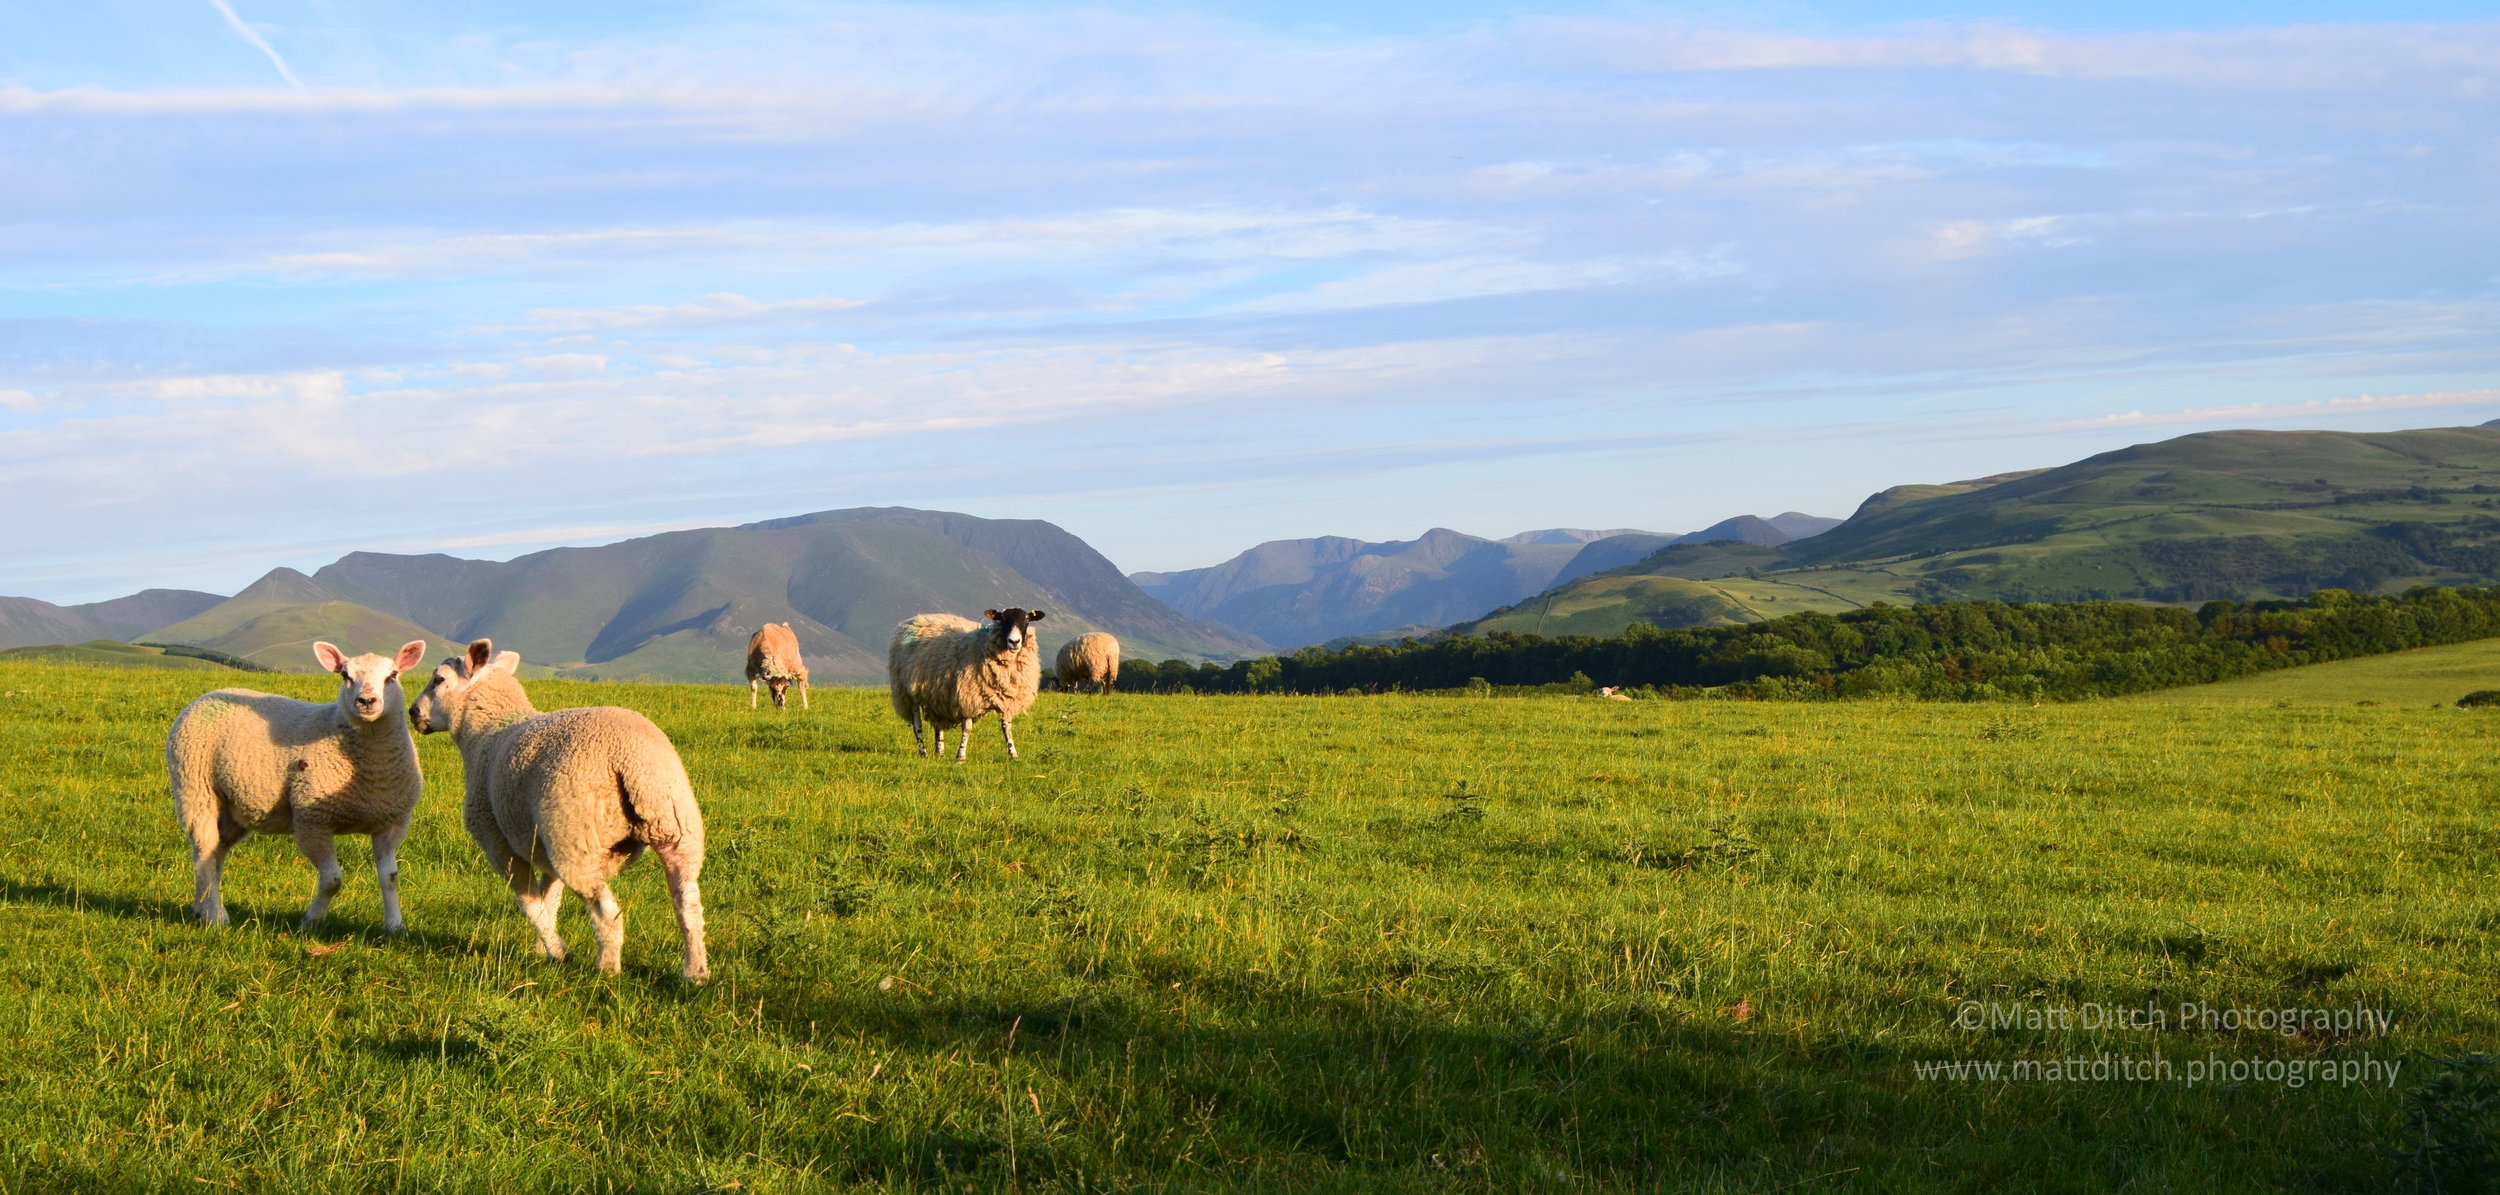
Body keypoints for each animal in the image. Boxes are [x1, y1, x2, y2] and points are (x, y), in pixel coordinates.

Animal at [165, 639, 430, 931]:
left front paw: (395, 926)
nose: (367, 701)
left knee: (215, 853)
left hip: (233, 807)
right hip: (194, 788)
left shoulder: (391, 823)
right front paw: (311, 921)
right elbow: (332, 880)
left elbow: (390, 878)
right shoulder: (312, 821)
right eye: (345, 676)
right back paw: (215, 917)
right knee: (204, 848)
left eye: (392, 675)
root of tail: (207, 696)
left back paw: (204, 910)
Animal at [410, 639, 708, 981]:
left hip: (575, 833)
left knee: (607, 912)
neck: (486, 733)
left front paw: (559, 952)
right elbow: (549, 896)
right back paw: (695, 973)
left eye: (439, 680)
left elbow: (529, 902)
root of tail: (630, 759)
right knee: (688, 903)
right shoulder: (542, 843)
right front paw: (544, 949)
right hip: (672, 823)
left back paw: (607, 969)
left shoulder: (497, 841)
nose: (413, 713)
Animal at [888, 607, 1047, 760]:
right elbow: (967, 728)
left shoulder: (1006, 700)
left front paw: (1013, 754)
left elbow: (1006, 727)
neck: (983, 644)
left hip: (937, 693)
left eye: (1027, 620)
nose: (1014, 641)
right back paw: (923, 753)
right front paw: (961, 756)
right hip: (907, 692)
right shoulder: (968, 695)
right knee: (917, 725)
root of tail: (910, 621)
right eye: (1001, 619)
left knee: (938, 724)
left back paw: (939, 752)